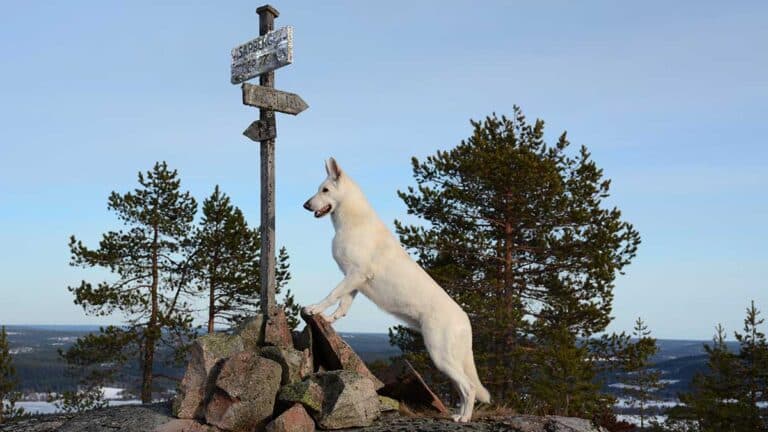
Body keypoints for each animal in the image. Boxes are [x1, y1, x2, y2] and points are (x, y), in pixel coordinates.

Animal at [302, 157, 488, 420]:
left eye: (325, 190)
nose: (306, 205)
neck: (352, 220)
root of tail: (465, 320)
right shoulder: (354, 280)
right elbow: (342, 306)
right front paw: (328, 320)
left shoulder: (355, 274)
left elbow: (332, 295)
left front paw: (314, 309)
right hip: (447, 359)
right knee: (462, 389)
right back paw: (457, 414)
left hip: (440, 354)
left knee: (469, 387)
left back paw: (464, 418)